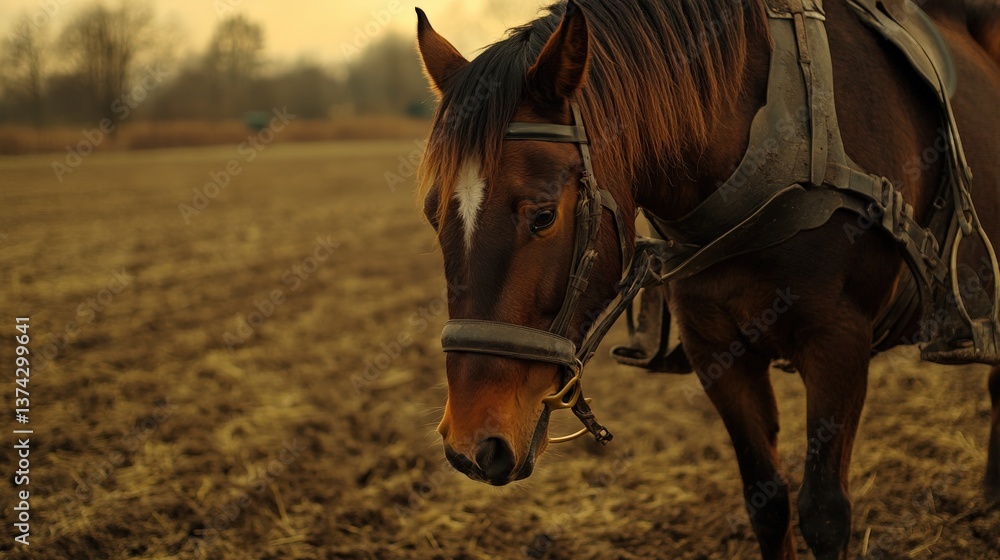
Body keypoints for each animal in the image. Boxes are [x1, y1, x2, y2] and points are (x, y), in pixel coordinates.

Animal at [414, 0, 1000, 558]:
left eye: (542, 216)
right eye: (432, 215)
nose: (471, 444)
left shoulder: (839, 342)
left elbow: (825, 514)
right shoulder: (717, 350)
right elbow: (767, 503)